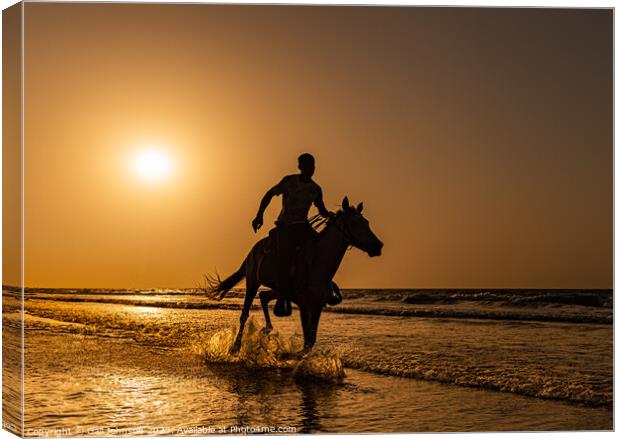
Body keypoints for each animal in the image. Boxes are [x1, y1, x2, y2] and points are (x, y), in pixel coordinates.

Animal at [206, 198, 382, 356]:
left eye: (366, 222)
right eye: (354, 222)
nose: (378, 245)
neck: (318, 266)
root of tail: (253, 250)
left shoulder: (317, 306)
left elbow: (311, 341)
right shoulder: (304, 306)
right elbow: (307, 342)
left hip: (278, 290)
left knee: (263, 296)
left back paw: (267, 330)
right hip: (252, 282)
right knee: (245, 314)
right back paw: (235, 348)